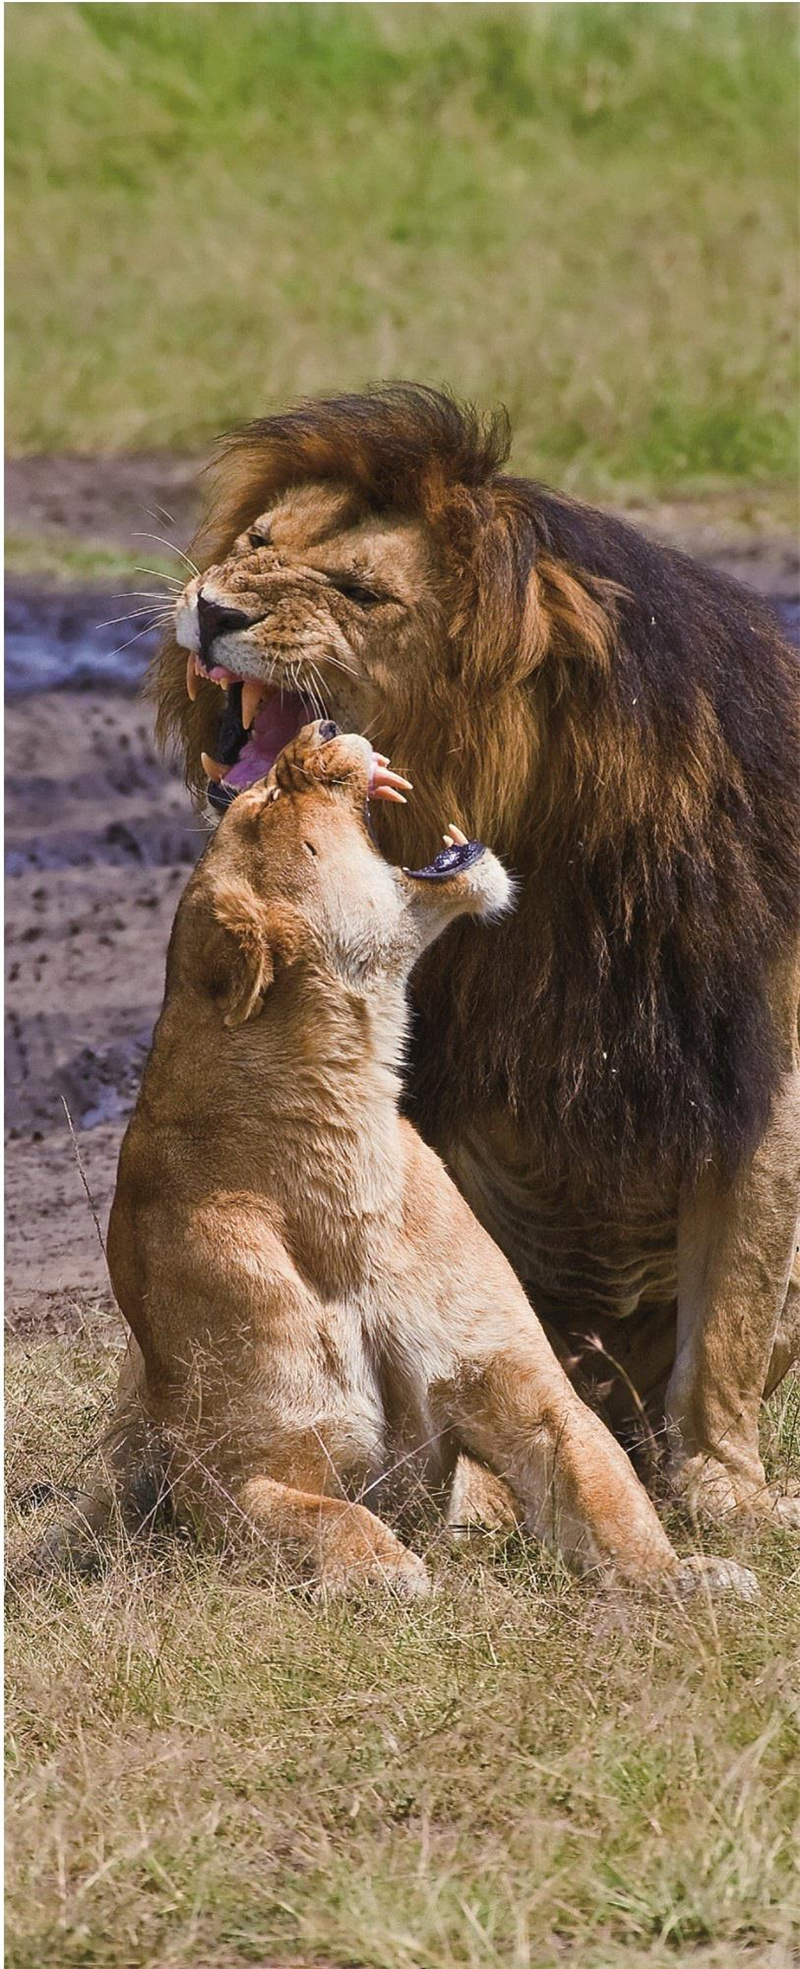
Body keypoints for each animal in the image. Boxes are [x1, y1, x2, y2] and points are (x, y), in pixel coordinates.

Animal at [152, 380, 796, 1520]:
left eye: (362, 592)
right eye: (259, 543)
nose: (214, 609)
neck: (541, 830)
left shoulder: (755, 1073)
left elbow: (727, 1311)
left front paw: (724, 1490)